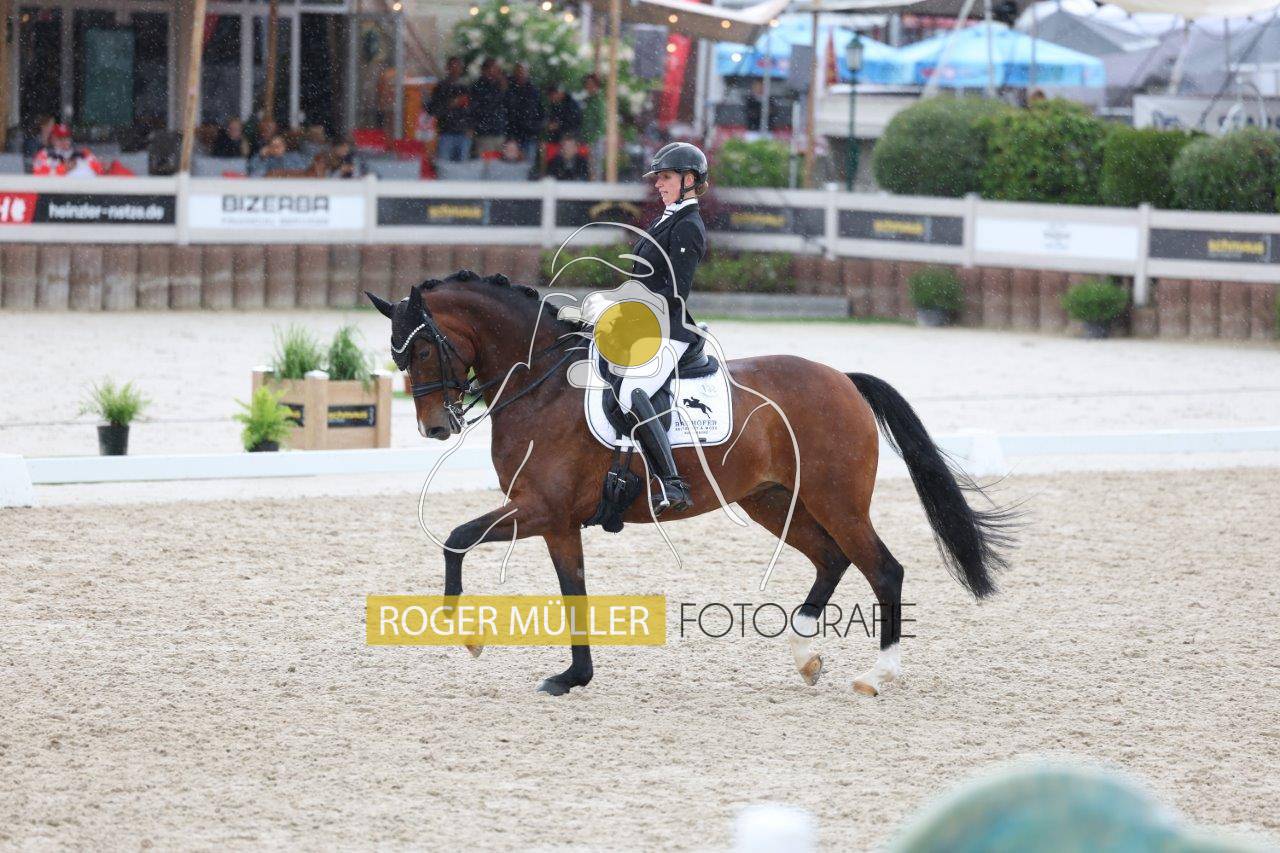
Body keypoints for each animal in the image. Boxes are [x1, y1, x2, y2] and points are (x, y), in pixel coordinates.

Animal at [367, 269, 1019, 697]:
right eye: (397, 355)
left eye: (421, 349)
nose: (433, 427)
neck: (542, 387)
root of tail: (843, 379)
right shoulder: (555, 520)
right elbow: (572, 590)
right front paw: (574, 676)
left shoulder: (539, 508)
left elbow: (455, 539)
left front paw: (467, 636)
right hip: (772, 500)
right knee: (831, 559)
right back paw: (806, 656)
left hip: (837, 500)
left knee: (883, 569)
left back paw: (876, 676)